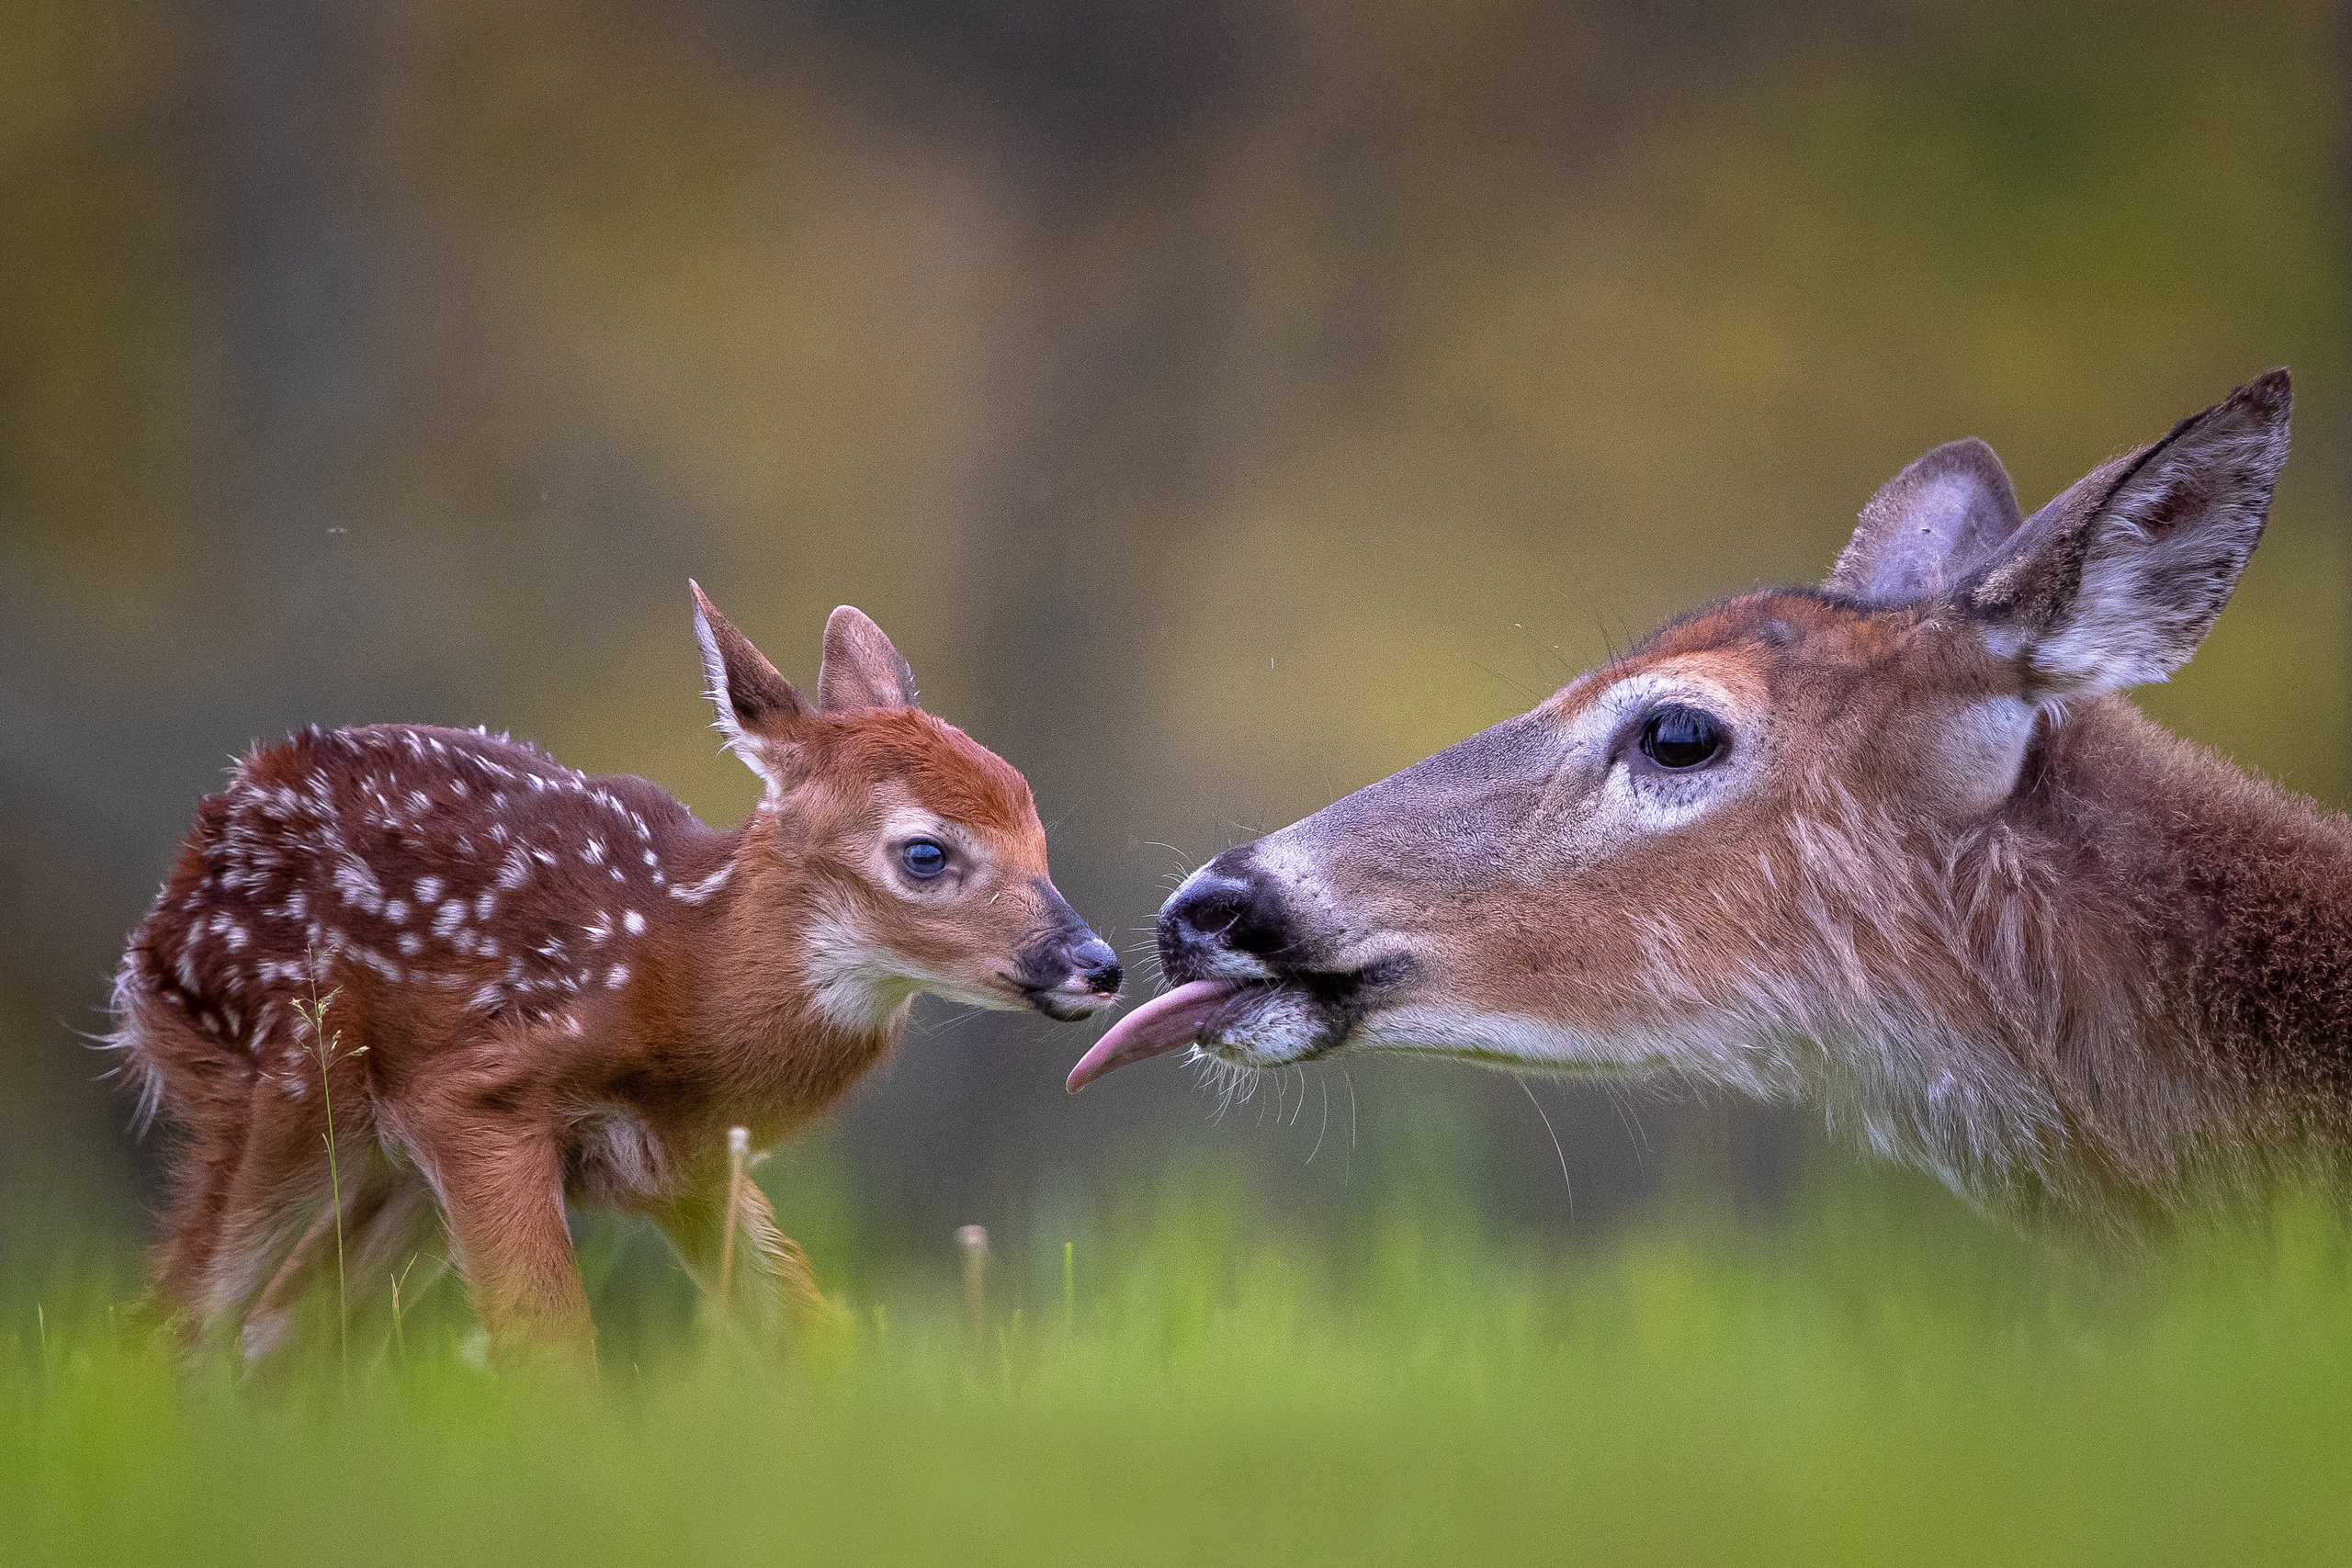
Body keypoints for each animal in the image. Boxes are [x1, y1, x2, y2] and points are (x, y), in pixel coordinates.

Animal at [114, 587, 1124, 1363]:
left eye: (1036, 831)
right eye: (925, 852)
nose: (1100, 965)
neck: (683, 981)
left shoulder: (693, 1166)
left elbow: (810, 1331)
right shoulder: (476, 1095)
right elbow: (549, 1350)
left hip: (386, 1174)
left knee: (271, 1330)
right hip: (281, 1076)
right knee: (180, 1318)